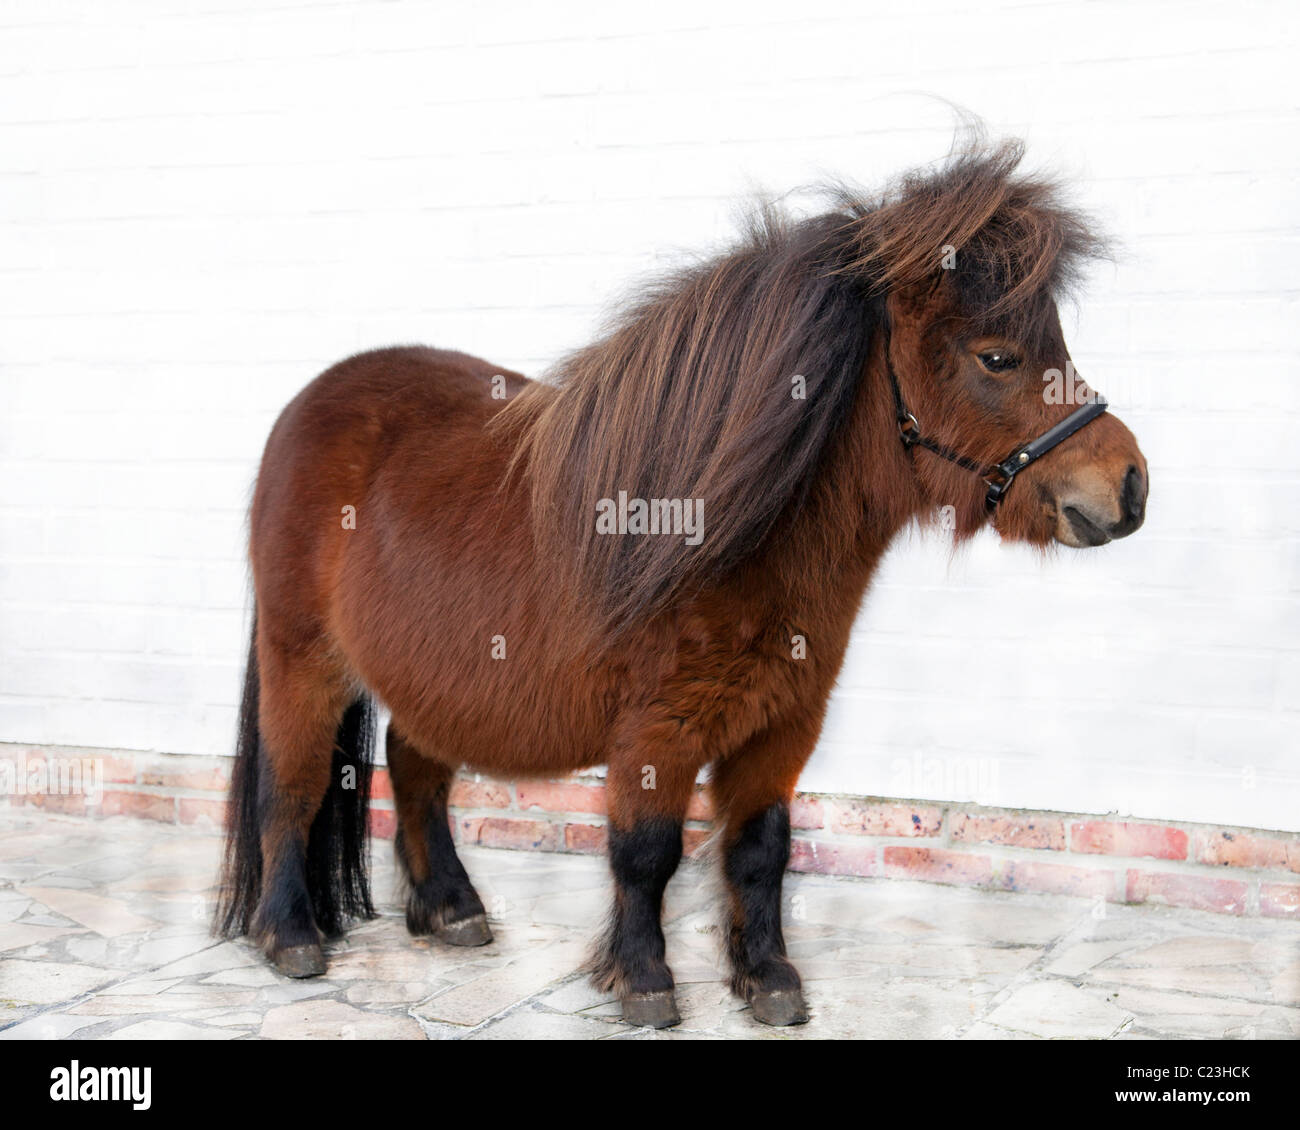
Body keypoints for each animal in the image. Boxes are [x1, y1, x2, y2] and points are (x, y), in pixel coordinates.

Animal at [215, 136, 1149, 1029]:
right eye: (998, 356)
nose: (1132, 486)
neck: (712, 527)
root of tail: (311, 404)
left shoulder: (783, 726)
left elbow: (762, 849)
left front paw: (768, 980)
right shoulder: (655, 731)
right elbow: (646, 851)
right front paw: (645, 982)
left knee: (414, 768)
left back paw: (450, 911)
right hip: (303, 661)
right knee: (291, 786)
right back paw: (290, 934)